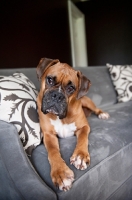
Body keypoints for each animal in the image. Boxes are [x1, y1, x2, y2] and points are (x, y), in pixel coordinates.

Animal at [36, 57, 109, 191]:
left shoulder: (84, 127)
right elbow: (53, 151)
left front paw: (80, 156)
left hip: (87, 101)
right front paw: (60, 173)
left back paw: (102, 114)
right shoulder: (48, 135)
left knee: (96, 109)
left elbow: (83, 138)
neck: (62, 117)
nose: (57, 96)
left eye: (71, 88)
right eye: (50, 80)